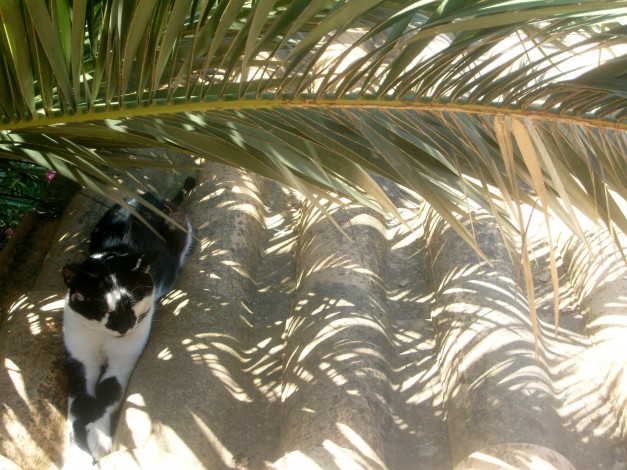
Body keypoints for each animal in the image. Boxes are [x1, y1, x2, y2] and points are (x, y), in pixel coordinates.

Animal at [61, 177, 195, 466]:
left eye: (133, 301)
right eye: (100, 306)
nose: (123, 327)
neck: (103, 337)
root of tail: (157, 199)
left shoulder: (124, 360)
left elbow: (108, 392)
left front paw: (99, 438)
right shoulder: (79, 359)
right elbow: (78, 407)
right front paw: (79, 453)